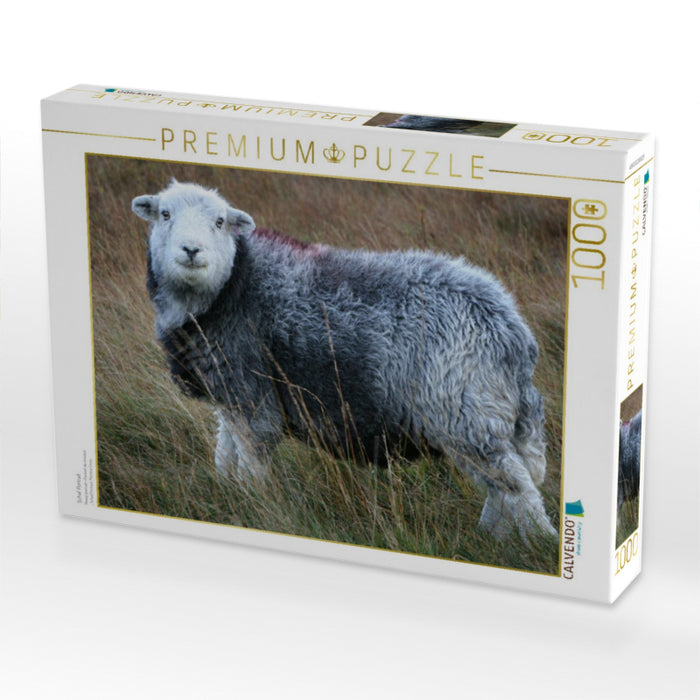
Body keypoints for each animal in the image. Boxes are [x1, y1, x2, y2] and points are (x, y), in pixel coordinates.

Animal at [132, 180, 557, 542]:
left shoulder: (253, 397)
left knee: (517, 485)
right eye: (165, 214)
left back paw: (537, 543)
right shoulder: (228, 391)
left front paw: (252, 507)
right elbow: (225, 452)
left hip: (463, 409)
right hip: (479, 412)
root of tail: (511, 328)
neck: (230, 288)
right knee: (503, 487)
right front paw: (225, 494)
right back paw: (493, 536)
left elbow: (250, 464)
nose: (191, 251)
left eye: (220, 222)